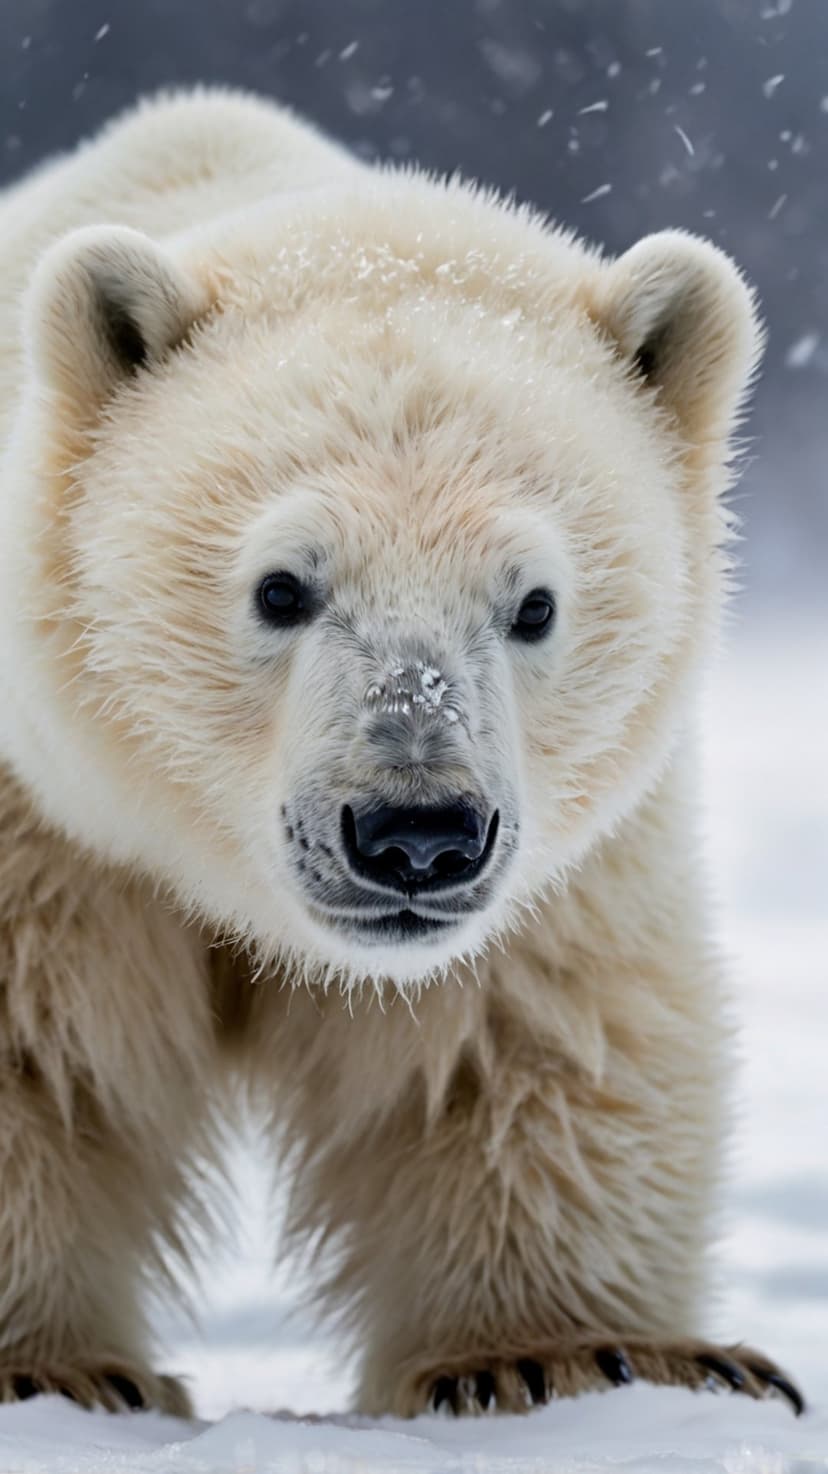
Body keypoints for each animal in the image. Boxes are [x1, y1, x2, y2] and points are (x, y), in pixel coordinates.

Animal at [0, 87, 802, 1420]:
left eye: (535, 602)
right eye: (281, 585)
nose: (415, 832)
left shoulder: (563, 862)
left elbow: (519, 1046)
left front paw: (561, 1351)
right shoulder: (47, 828)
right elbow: (38, 1050)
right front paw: (60, 1371)